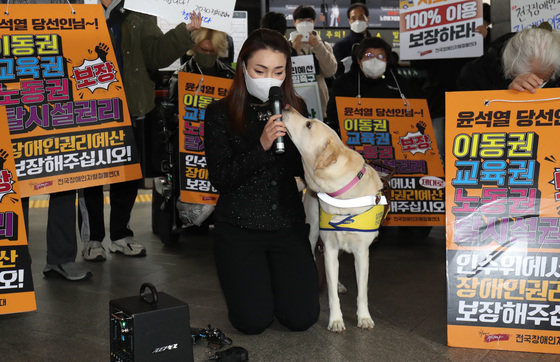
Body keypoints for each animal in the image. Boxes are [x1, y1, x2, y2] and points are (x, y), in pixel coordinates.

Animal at [284, 109, 390, 332]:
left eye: (308, 124)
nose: (287, 107)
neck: (340, 194)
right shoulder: (330, 246)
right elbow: (332, 294)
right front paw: (335, 320)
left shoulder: (362, 252)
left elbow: (362, 292)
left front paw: (364, 317)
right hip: (313, 231)